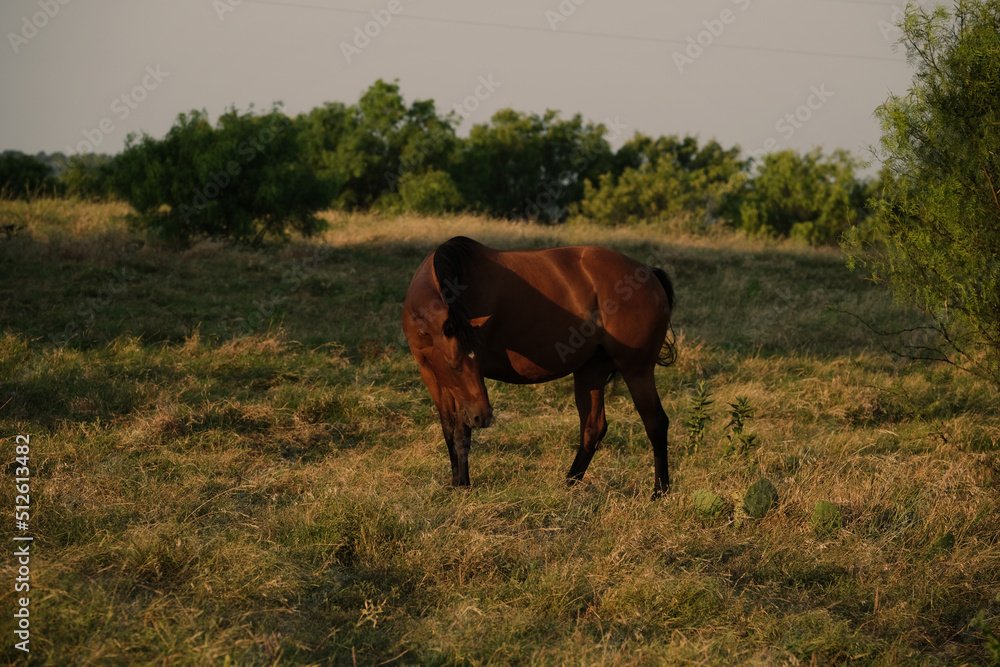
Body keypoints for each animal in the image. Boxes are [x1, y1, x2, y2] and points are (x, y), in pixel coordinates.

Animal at [402, 236, 676, 498]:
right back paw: (568, 484)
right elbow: (450, 431)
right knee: (593, 428)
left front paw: (463, 486)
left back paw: (659, 491)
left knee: (656, 423)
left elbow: (462, 431)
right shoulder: (433, 376)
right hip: (591, 371)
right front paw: (457, 484)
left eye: (480, 360)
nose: (483, 416)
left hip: (637, 370)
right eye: (453, 365)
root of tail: (649, 273)